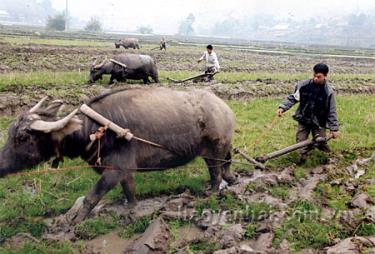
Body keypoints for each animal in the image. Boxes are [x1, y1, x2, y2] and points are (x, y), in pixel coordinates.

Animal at [0, 88, 236, 224]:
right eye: (11, 132)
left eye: (22, 138)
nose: (1, 166)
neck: (93, 129)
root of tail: (225, 108)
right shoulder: (124, 171)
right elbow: (129, 189)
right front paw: (131, 208)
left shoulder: (114, 170)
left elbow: (92, 196)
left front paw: (75, 220)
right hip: (218, 150)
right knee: (225, 164)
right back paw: (230, 179)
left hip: (214, 151)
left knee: (216, 174)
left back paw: (211, 193)